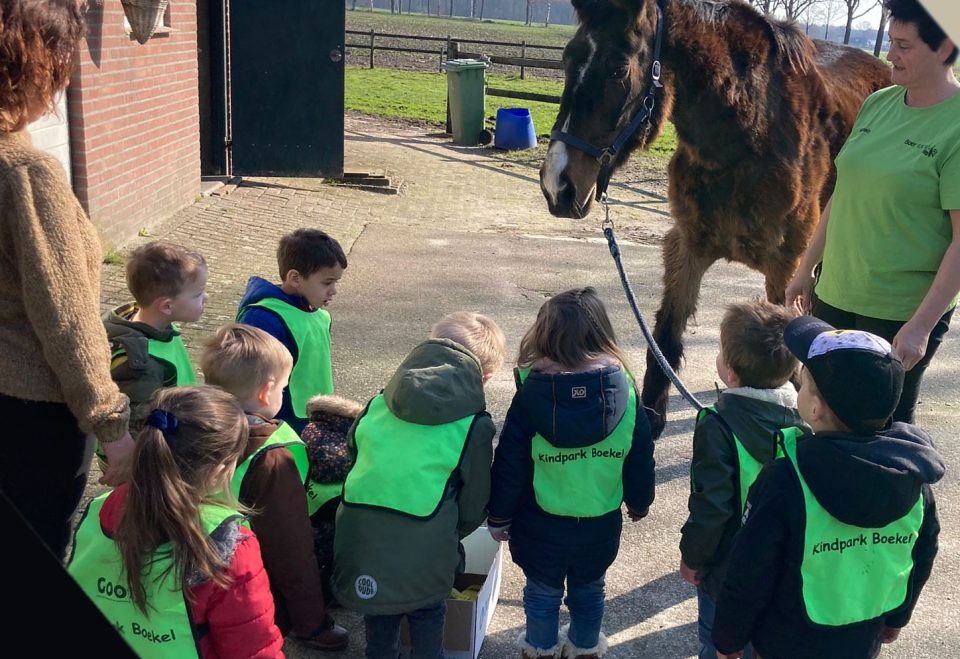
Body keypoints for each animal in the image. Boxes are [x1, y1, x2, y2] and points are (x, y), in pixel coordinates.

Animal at [544, 0, 888, 438]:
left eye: (619, 69)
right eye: (567, 59)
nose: (557, 186)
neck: (750, 130)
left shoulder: (787, 267)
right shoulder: (688, 247)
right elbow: (665, 341)